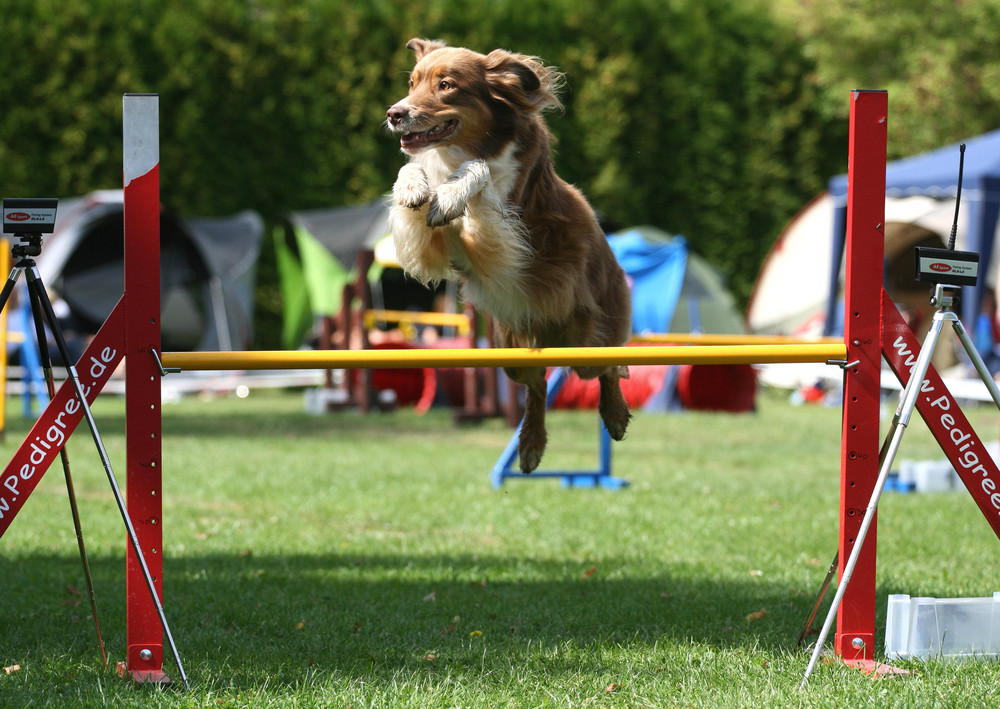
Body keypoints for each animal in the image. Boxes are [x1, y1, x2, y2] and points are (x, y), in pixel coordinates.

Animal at [384, 37, 628, 470]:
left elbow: (477, 171)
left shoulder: (504, 236)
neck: (459, 150)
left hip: (590, 343)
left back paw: (615, 415)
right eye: (412, 83)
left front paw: (452, 193)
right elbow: (412, 179)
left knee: (608, 369)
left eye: (445, 85)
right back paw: (530, 445)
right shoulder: (435, 248)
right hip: (511, 352)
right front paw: (412, 187)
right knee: (537, 386)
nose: (394, 114)